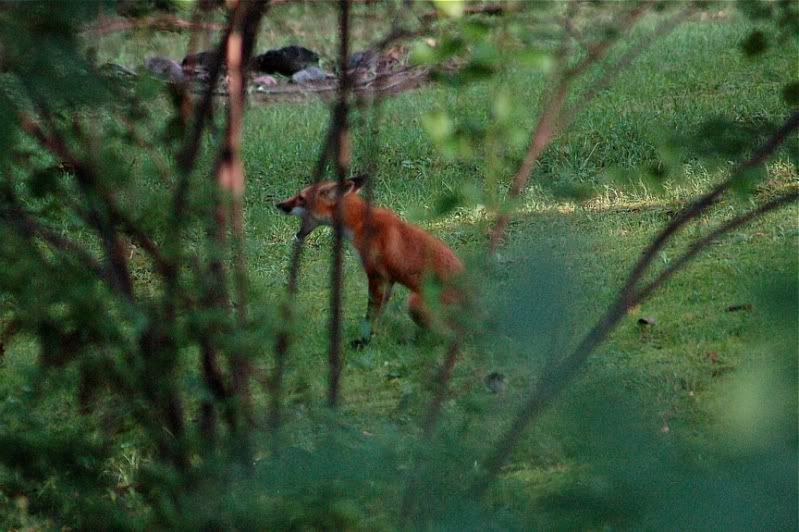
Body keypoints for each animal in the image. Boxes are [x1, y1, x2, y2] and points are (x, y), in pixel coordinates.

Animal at [278, 177, 462, 348]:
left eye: (301, 198)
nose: (278, 204)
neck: (359, 223)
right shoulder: (389, 279)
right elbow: (379, 313)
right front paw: (373, 336)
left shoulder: (376, 275)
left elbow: (371, 313)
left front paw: (364, 342)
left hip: (414, 302)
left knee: (451, 337)